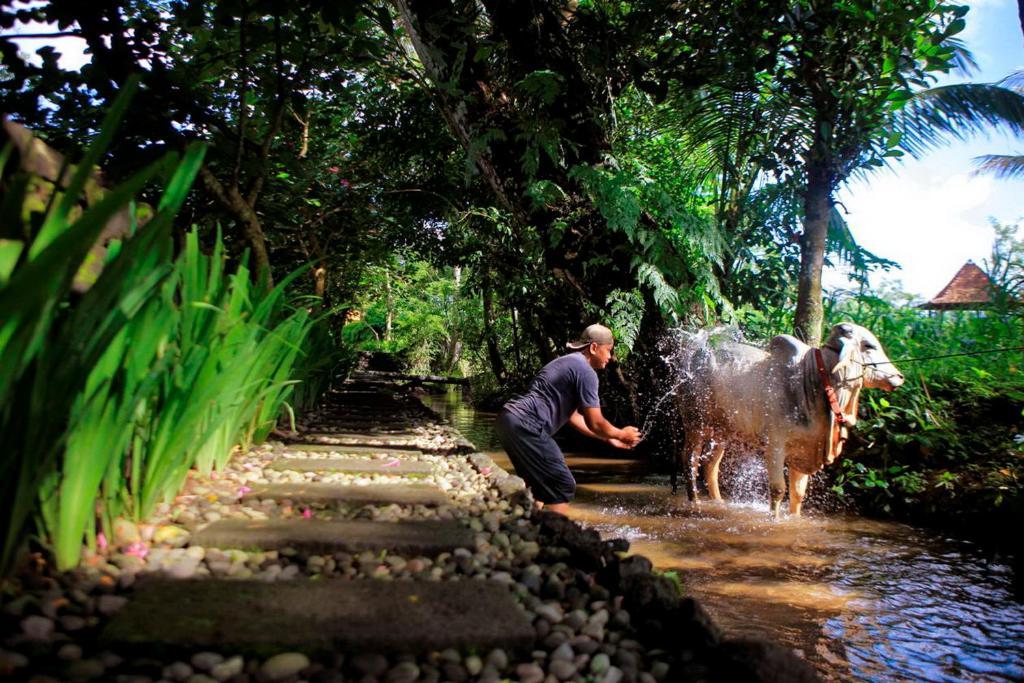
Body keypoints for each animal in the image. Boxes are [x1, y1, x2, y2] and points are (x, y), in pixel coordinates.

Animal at [671, 325, 905, 518]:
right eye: (869, 346)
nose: (900, 377)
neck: (812, 382)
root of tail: (694, 354)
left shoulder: (803, 450)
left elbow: (797, 493)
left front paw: (794, 519)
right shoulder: (775, 446)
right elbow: (778, 489)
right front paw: (774, 520)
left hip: (722, 431)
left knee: (710, 465)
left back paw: (718, 502)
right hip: (696, 424)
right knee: (690, 461)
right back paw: (695, 503)